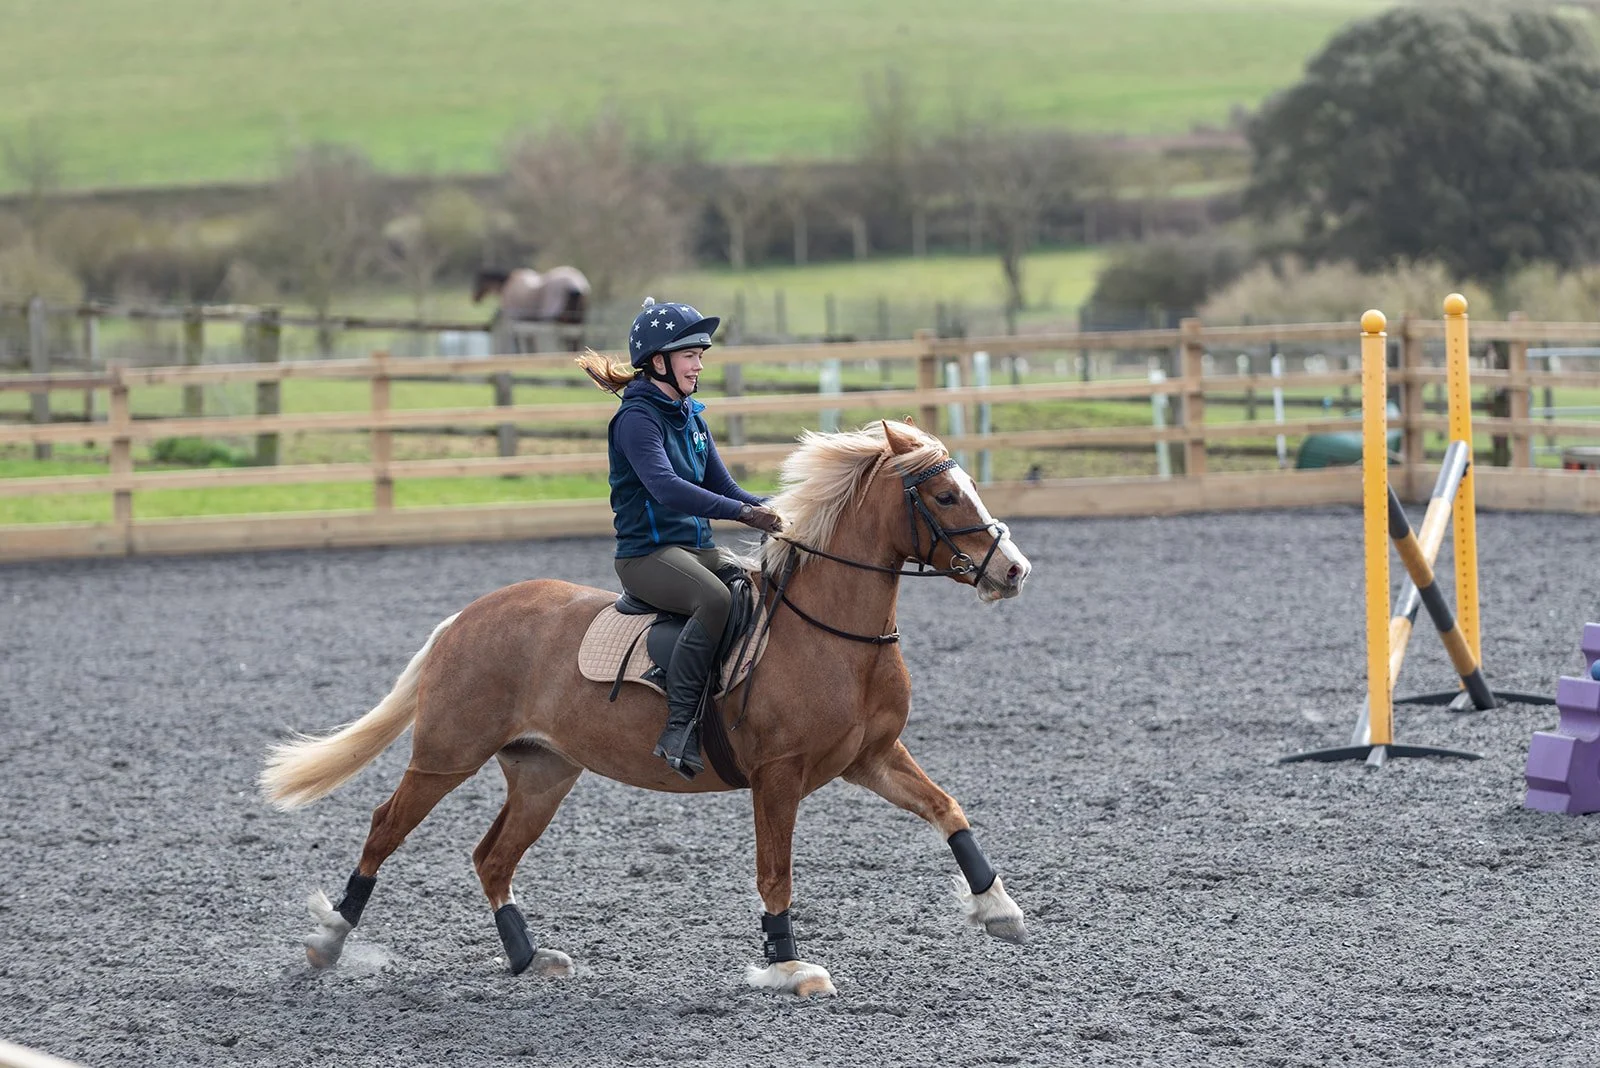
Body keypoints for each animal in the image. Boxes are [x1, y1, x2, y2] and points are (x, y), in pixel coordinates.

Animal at [259, 418, 1033, 998]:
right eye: (945, 496)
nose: (1014, 570)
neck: (833, 632)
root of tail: (466, 618)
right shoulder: (778, 777)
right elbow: (775, 871)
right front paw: (788, 968)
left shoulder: (871, 758)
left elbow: (948, 810)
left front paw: (999, 910)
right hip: (446, 757)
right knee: (385, 828)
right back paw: (329, 941)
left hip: (543, 773)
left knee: (491, 858)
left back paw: (528, 959)